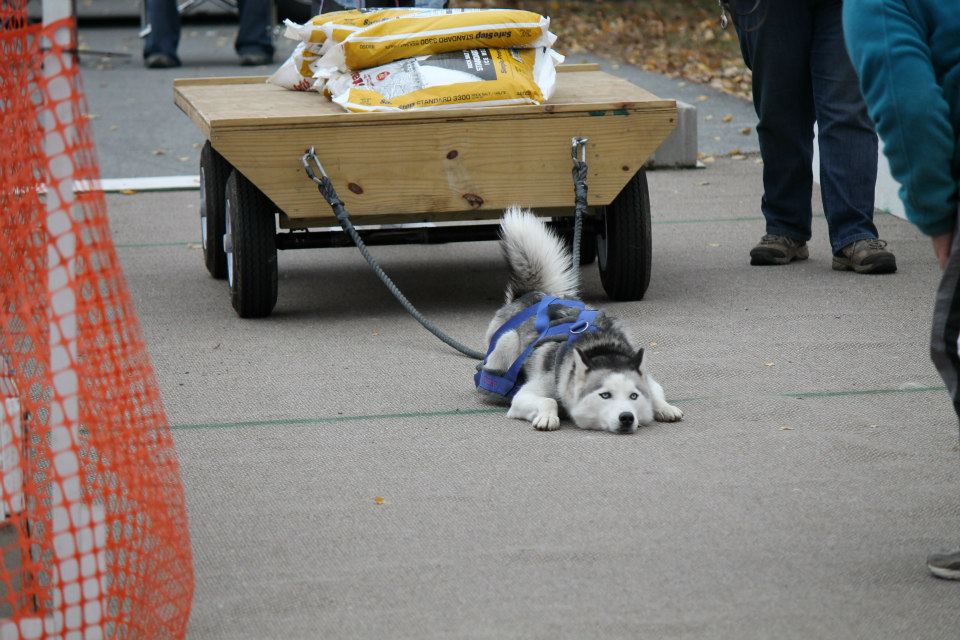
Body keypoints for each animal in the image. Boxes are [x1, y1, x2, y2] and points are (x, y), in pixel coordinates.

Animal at [480, 208, 684, 432]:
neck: (600, 347)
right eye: (605, 395)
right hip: (505, 344)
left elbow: (655, 392)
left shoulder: (647, 379)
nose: (627, 417)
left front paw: (664, 407)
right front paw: (548, 416)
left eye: (633, 396)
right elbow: (548, 400)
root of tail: (528, 295)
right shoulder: (527, 393)